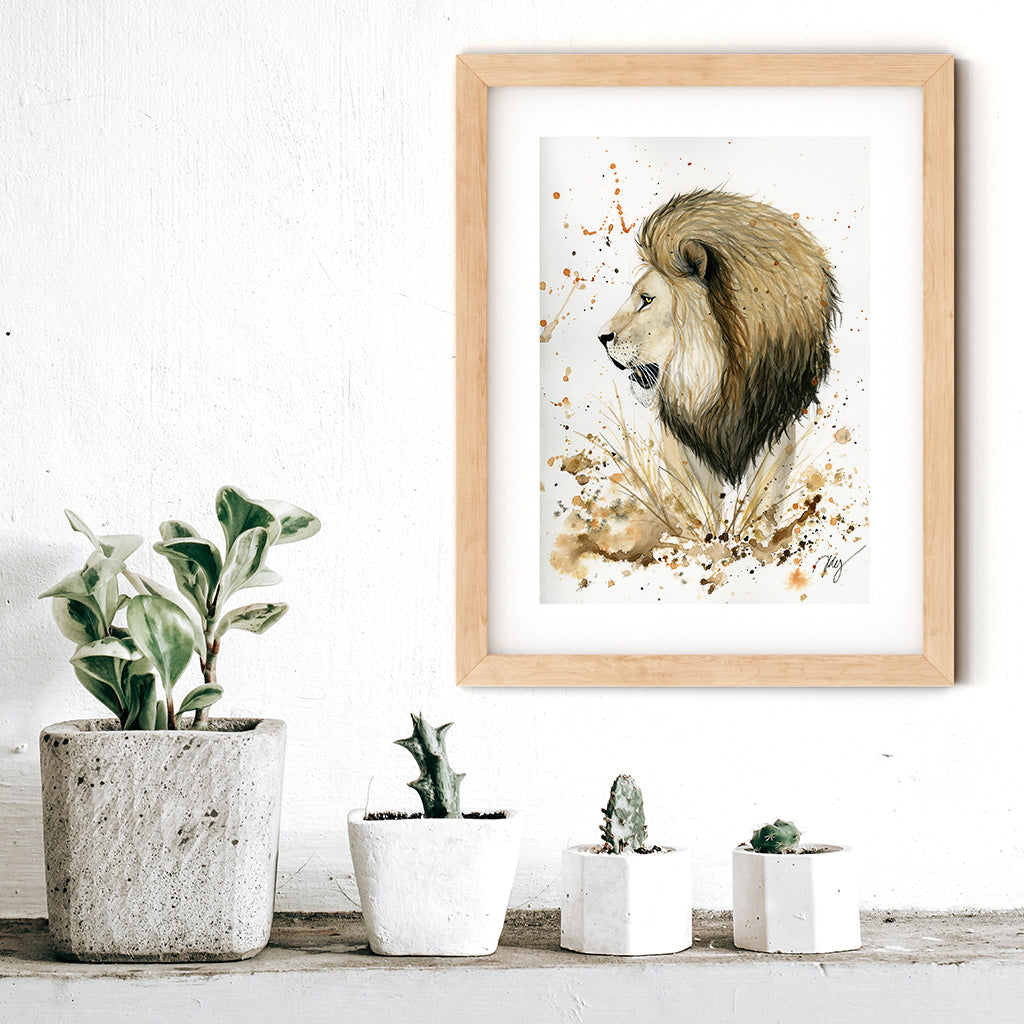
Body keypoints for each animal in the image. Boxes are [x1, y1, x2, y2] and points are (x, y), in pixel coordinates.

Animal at [598, 188, 840, 531]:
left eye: (646, 300)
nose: (601, 337)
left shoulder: (774, 431)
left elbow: (762, 505)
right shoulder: (682, 442)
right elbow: (698, 506)